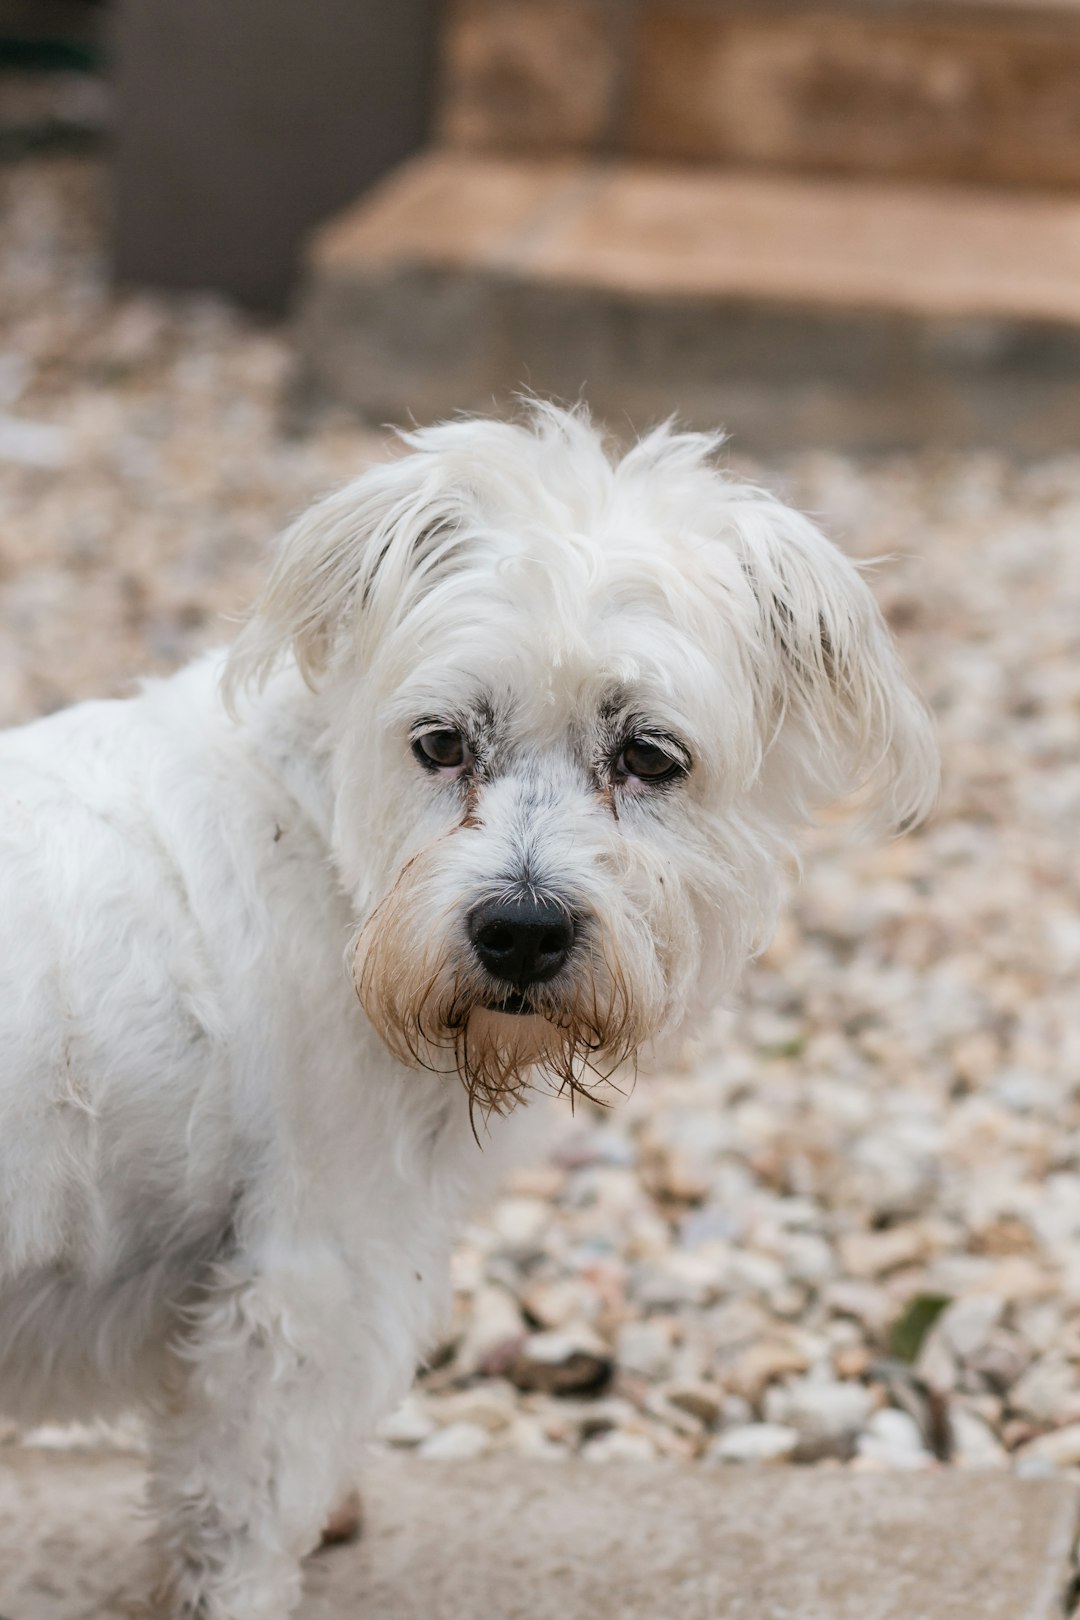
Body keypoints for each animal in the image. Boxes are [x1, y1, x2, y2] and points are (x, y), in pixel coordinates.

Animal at [0, 401, 939, 1607]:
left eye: (649, 755)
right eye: (441, 742)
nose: (522, 932)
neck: (340, 872)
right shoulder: (310, 1279)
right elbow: (238, 1517)